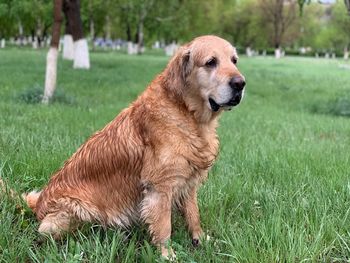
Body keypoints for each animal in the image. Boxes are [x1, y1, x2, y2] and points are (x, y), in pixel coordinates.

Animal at [21, 35, 246, 260]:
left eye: (234, 60)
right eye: (210, 62)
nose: (240, 83)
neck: (187, 112)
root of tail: (38, 204)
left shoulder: (188, 184)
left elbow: (194, 215)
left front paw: (201, 239)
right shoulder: (159, 188)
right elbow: (164, 227)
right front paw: (168, 255)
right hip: (75, 212)